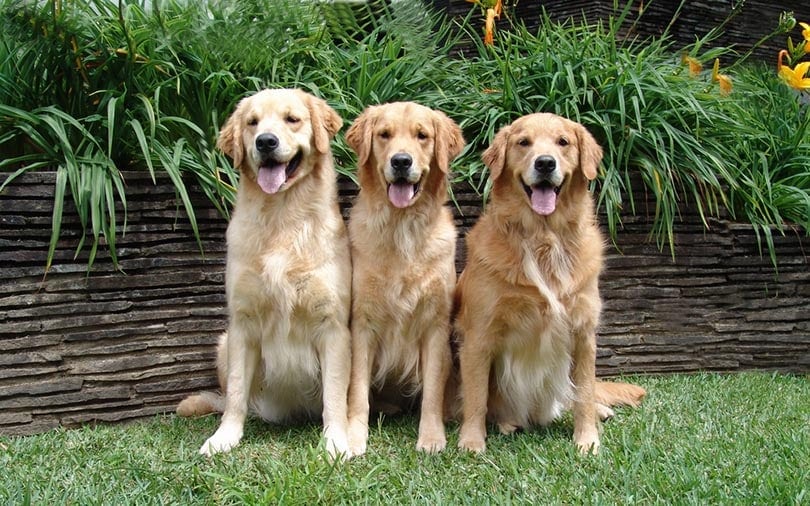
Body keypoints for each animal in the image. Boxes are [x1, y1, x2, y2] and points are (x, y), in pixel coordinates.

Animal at [175, 89, 352, 460]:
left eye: (292, 119)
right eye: (252, 122)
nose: (266, 142)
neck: (282, 217)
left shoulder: (333, 326)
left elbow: (335, 397)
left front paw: (335, 442)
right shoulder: (242, 325)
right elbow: (235, 395)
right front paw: (224, 438)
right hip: (223, 343)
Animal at [342, 102, 468, 454]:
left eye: (422, 135)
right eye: (384, 135)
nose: (401, 161)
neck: (402, 229)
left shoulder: (435, 325)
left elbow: (433, 394)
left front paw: (431, 437)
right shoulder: (363, 324)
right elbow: (357, 390)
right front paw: (354, 437)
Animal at [454, 113, 644, 454]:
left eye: (563, 142)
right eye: (523, 142)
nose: (545, 163)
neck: (543, 237)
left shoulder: (583, 333)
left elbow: (584, 393)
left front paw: (587, 440)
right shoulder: (479, 335)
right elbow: (476, 397)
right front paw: (472, 442)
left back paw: (600, 410)